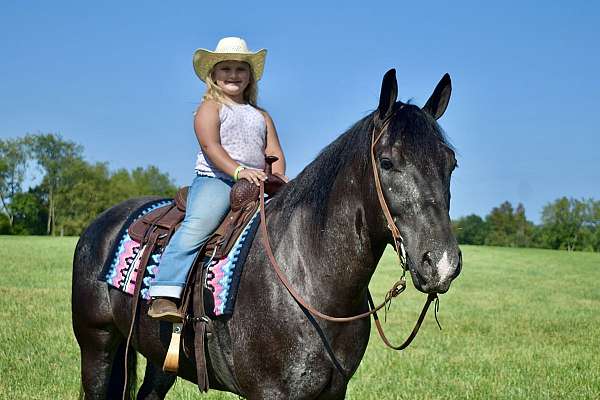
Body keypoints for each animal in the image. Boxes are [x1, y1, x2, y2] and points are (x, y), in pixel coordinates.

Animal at [72, 69, 462, 400]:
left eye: (451, 163)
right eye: (387, 162)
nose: (442, 263)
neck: (308, 277)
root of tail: (101, 224)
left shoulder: (334, 391)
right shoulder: (271, 393)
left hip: (159, 356)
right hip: (97, 344)